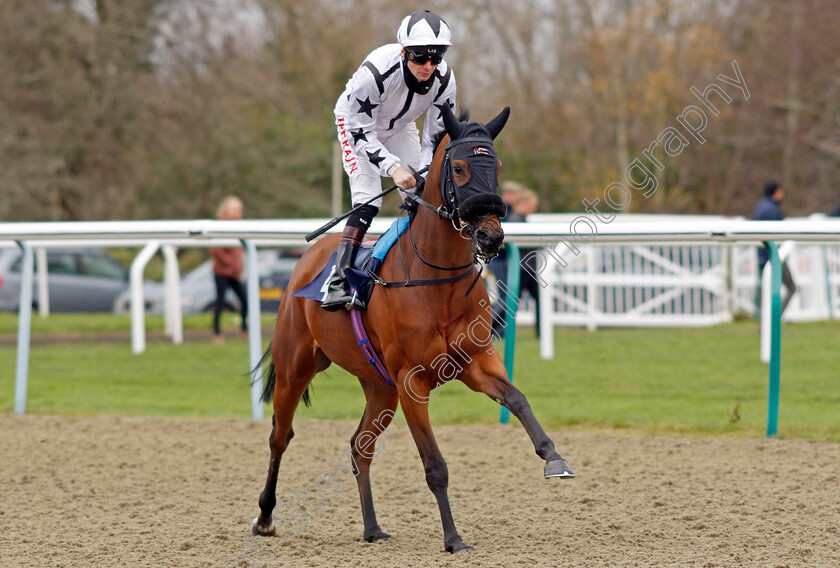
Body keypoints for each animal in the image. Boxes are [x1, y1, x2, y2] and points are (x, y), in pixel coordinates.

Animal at [253, 104, 576, 552]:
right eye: (458, 167)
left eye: (496, 166)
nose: (491, 236)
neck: (439, 279)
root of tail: (306, 260)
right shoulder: (413, 380)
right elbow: (435, 466)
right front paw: (454, 538)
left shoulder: (474, 363)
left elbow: (518, 399)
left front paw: (554, 458)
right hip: (295, 369)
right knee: (279, 437)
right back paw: (265, 517)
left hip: (380, 387)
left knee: (359, 447)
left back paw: (372, 528)